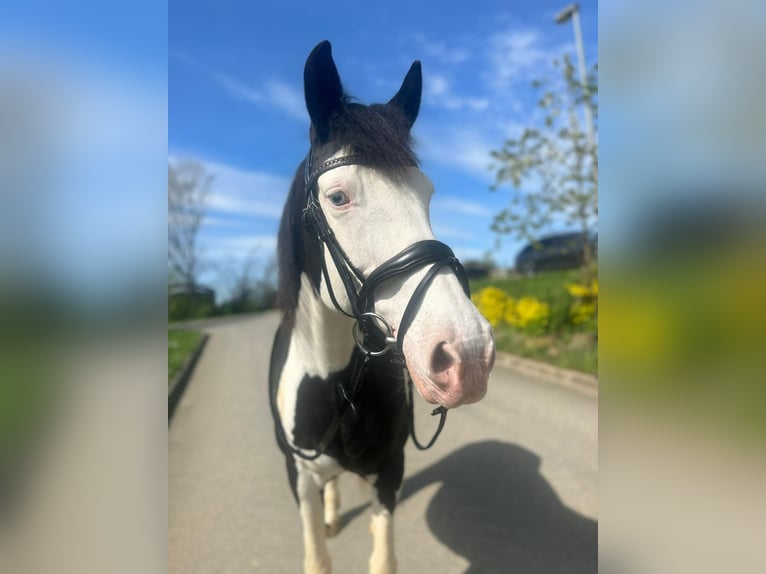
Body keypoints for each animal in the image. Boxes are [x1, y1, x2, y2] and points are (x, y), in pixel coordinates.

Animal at [270, 41, 498, 574]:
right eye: (338, 197)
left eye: (427, 193)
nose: (468, 354)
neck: (333, 382)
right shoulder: (299, 478)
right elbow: (317, 554)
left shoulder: (390, 471)